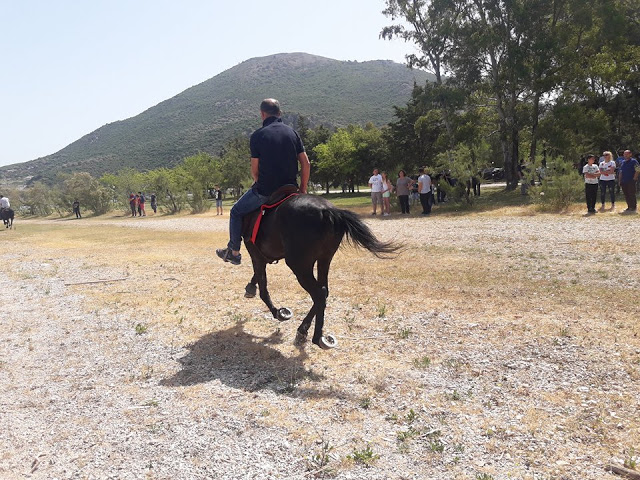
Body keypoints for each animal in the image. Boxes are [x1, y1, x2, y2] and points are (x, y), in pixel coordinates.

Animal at [241, 189, 398, 350]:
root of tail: (327, 211)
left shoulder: (256, 256)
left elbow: (263, 288)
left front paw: (277, 312)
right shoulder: (263, 258)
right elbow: (259, 279)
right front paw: (251, 287)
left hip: (300, 265)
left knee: (318, 293)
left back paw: (316, 337)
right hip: (324, 259)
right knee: (323, 291)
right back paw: (303, 331)